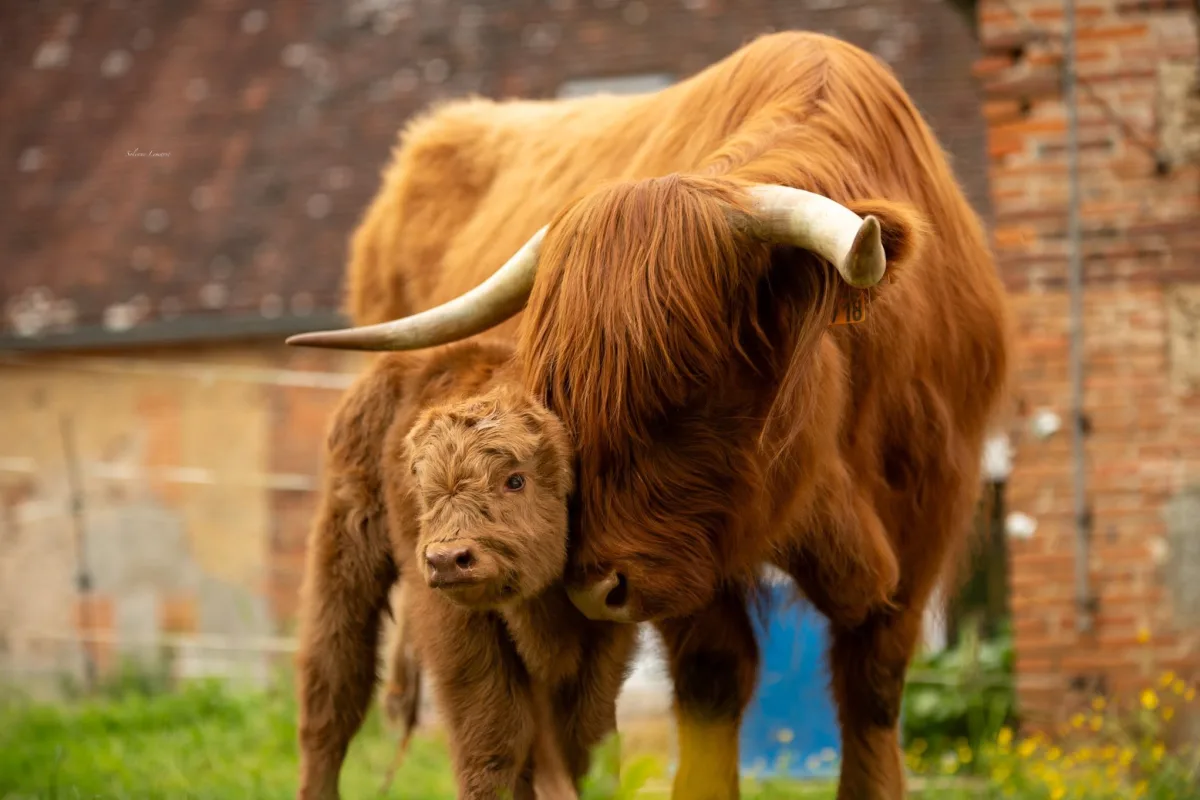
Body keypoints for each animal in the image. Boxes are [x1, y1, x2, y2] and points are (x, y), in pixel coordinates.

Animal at [293, 342, 636, 800]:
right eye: (424, 490)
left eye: (515, 480)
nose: (446, 559)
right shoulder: (458, 631)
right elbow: (493, 742)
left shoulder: (607, 634)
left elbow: (588, 742)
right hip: (344, 559)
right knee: (331, 694)